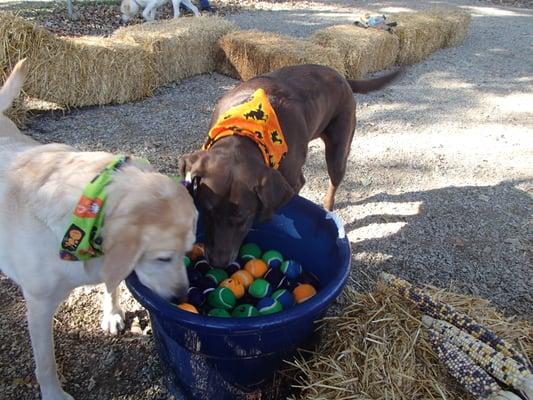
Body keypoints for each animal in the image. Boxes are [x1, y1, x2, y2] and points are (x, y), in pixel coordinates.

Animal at [179, 64, 400, 268]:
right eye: (207, 211)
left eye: (243, 218)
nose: (218, 263)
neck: (245, 133)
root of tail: (341, 76)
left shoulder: (291, 180)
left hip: (338, 151)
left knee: (334, 181)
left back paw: (328, 209)